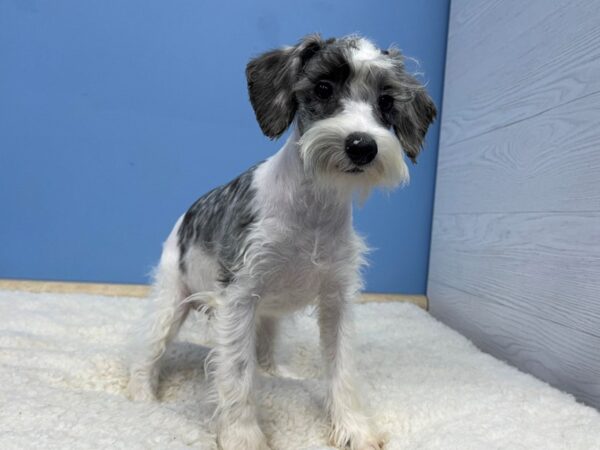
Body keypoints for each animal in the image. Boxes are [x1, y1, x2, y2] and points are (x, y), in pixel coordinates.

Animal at [127, 33, 436, 448]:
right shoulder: (238, 299)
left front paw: (353, 428)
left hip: (268, 316)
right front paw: (243, 436)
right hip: (170, 300)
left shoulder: (337, 299)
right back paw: (141, 397)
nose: (361, 146)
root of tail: (186, 216)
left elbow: (342, 367)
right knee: (149, 349)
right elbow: (237, 373)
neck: (313, 211)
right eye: (323, 88)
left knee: (265, 353)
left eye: (387, 101)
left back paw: (277, 373)